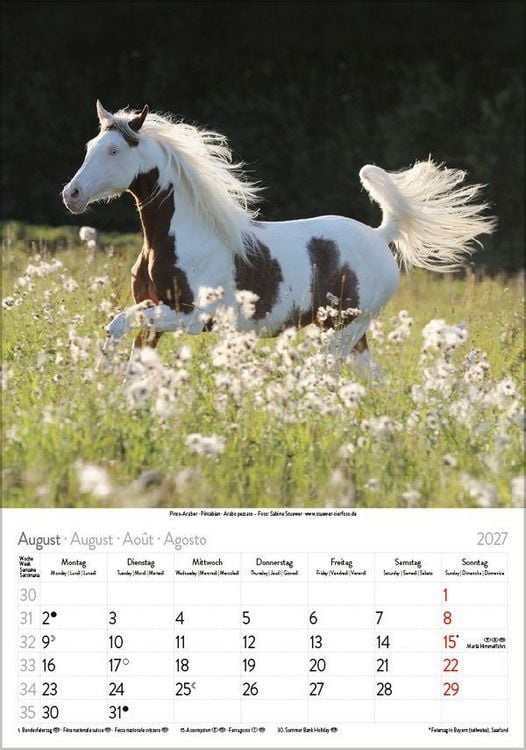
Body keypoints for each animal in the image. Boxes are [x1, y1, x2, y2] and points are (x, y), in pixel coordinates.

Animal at [62, 101, 495, 375]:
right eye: (90, 146)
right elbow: (131, 356)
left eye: (114, 151)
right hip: (352, 336)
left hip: (342, 332)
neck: (175, 241)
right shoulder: (154, 316)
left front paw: (99, 374)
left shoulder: (191, 318)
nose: (71, 194)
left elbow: (117, 323)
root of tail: (379, 235)